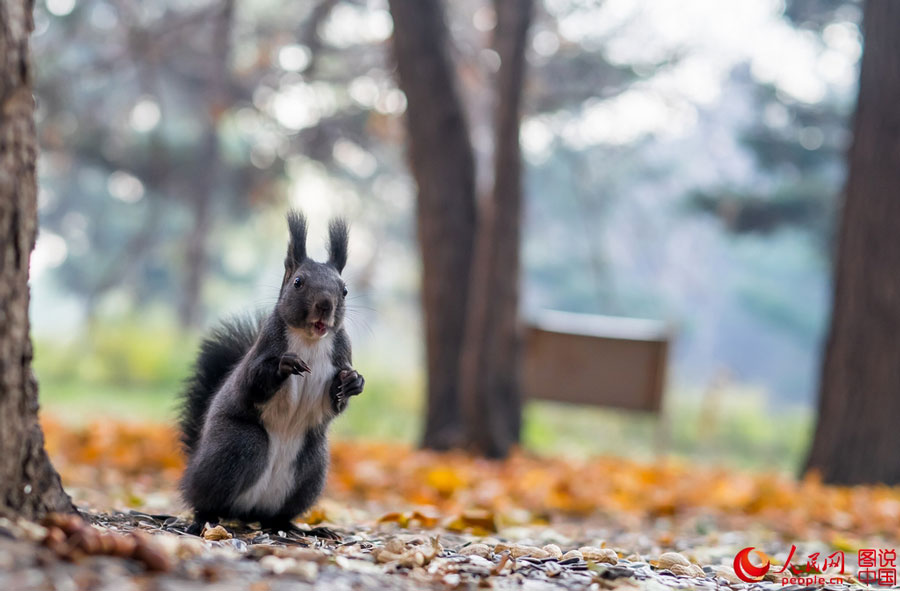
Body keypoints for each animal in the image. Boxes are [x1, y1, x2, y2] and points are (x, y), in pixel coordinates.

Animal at [178, 210, 365, 538]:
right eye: (298, 282)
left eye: (344, 290)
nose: (325, 305)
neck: (310, 340)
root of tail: (248, 512)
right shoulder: (262, 351)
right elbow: (252, 384)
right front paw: (284, 365)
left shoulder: (342, 356)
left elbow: (336, 403)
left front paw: (354, 382)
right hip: (237, 446)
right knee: (204, 500)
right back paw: (202, 520)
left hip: (311, 468)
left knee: (277, 517)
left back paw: (302, 528)